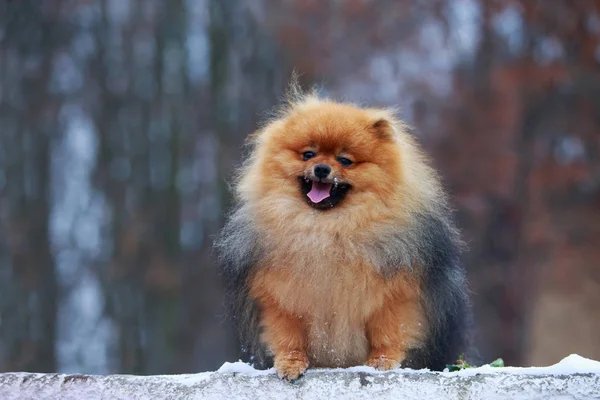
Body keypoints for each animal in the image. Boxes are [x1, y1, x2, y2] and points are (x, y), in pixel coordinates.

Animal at [216, 85, 474, 382]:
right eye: (308, 154)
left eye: (345, 160)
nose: (322, 169)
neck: (328, 228)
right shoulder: (280, 297)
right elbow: (288, 335)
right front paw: (291, 362)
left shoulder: (397, 295)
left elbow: (389, 331)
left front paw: (382, 361)